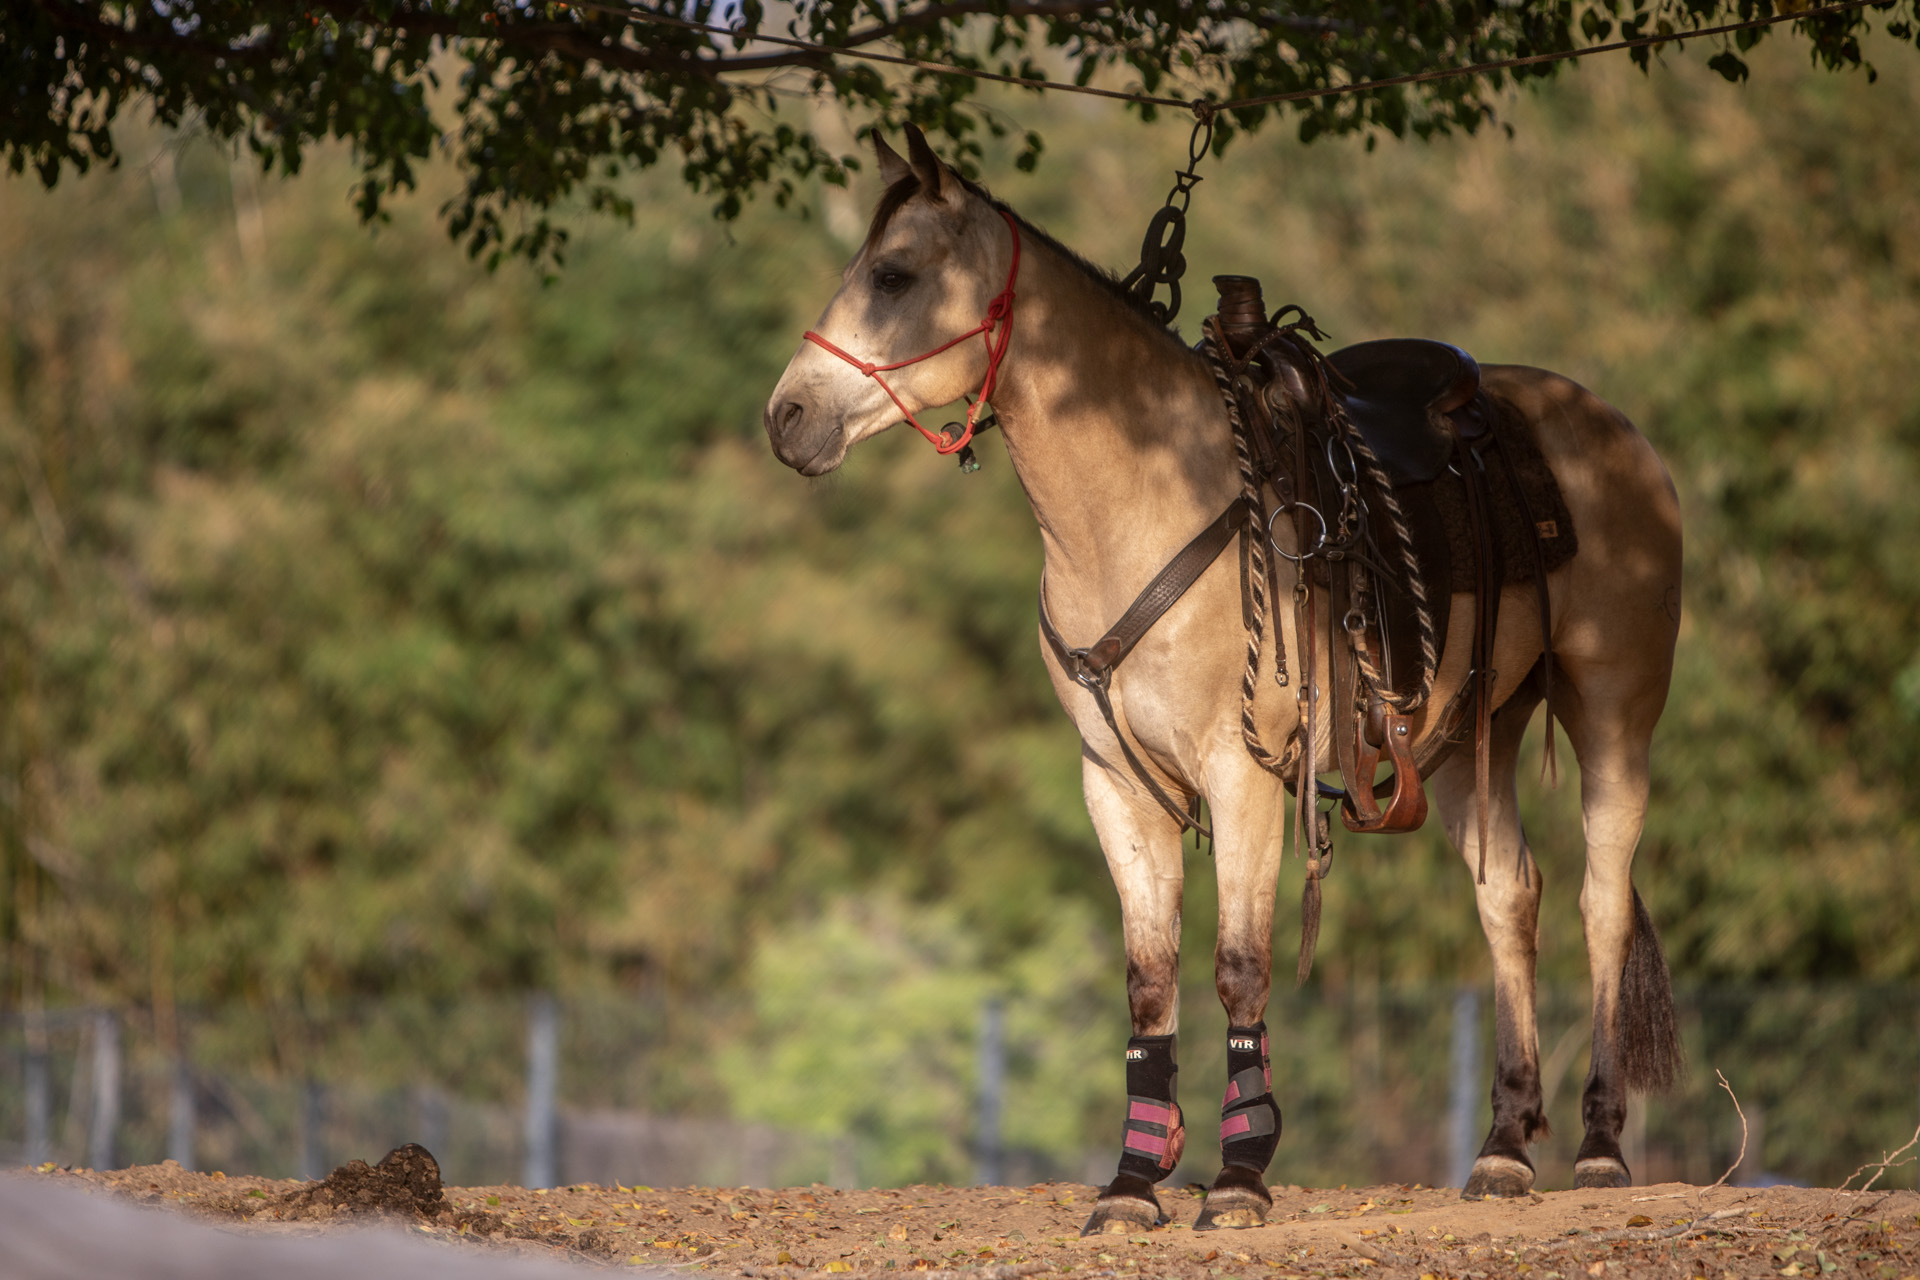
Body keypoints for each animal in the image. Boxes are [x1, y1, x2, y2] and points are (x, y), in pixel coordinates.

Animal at [764, 125, 1684, 1234]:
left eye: (894, 273)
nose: (787, 417)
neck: (1149, 497)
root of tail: (1613, 433)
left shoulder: (1242, 774)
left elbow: (1239, 966)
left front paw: (1240, 1174)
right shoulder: (1116, 787)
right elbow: (1149, 978)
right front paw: (1133, 1181)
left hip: (1615, 709)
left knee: (1601, 899)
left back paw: (1600, 1144)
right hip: (1471, 734)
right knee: (1510, 893)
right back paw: (1505, 1146)